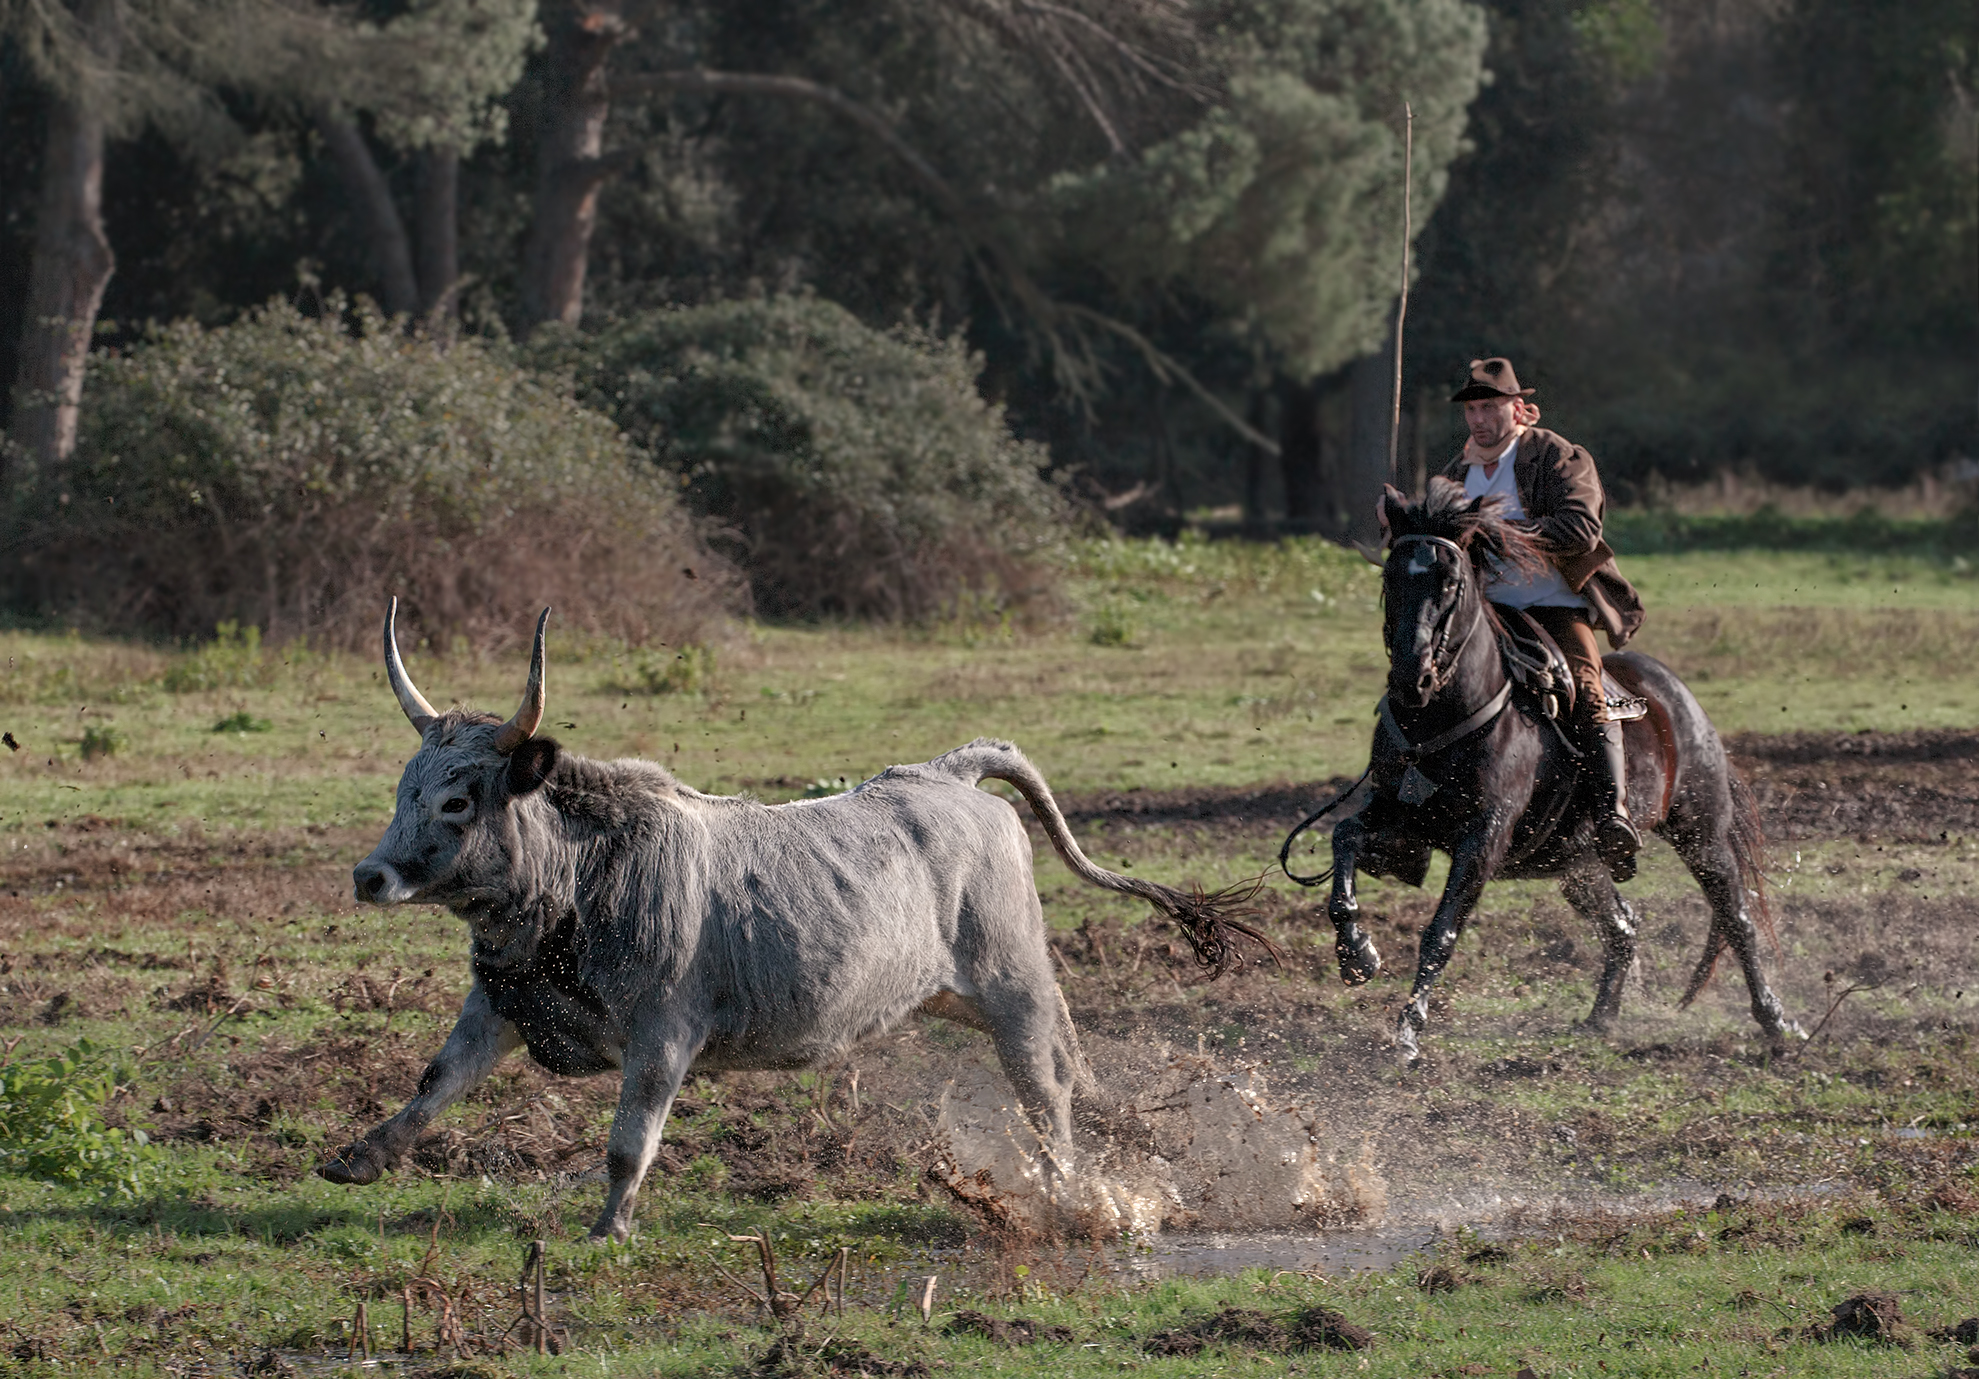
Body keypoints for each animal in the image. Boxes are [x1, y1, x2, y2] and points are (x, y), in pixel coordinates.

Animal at [314, 601, 1258, 1234]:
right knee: (1065, 1067)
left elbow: (630, 1138)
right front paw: (358, 1157)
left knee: (1045, 1089)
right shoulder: (500, 1003)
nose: (369, 874)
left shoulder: (663, 1033)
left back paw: (1067, 1194)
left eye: (458, 800)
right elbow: (435, 1080)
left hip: (1012, 984)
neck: (582, 882)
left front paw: (610, 1224)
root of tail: (943, 772)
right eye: (404, 789)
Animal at [1306, 478, 1804, 1060]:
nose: (1413, 677)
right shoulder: (1402, 830)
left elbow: (1441, 930)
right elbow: (1343, 840)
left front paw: (1409, 1031)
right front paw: (1356, 953)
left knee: (1736, 918)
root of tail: (1683, 702)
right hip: (1579, 865)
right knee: (1623, 926)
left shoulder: (1483, 840)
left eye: (1451, 580)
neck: (1441, 719)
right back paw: (1601, 1017)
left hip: (1701, 834)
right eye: (1390, 575)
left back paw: (1777, 1021)